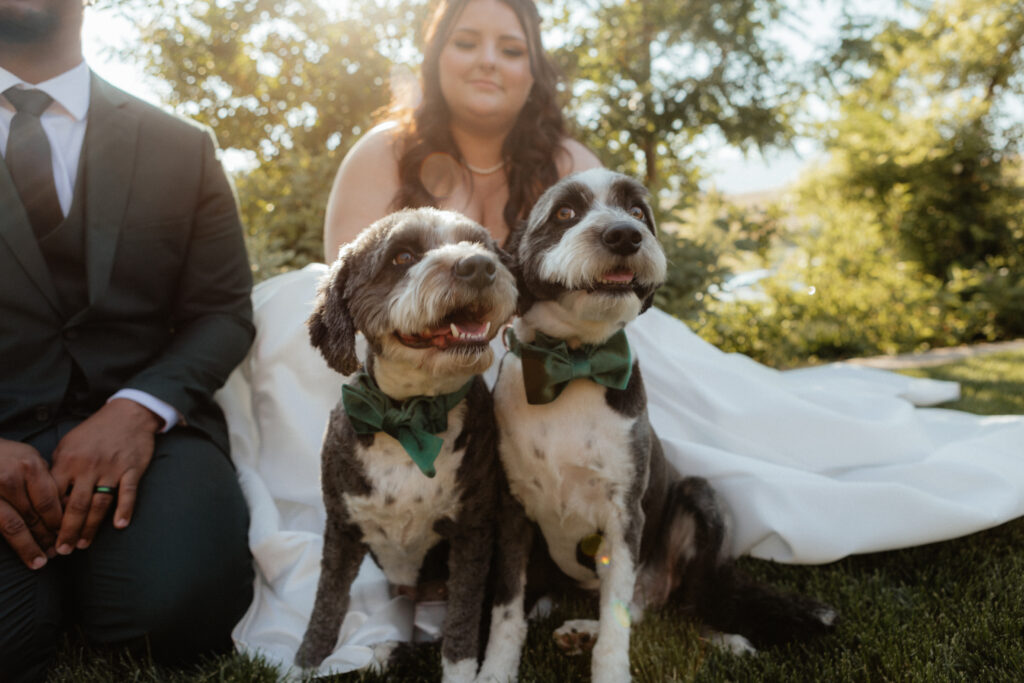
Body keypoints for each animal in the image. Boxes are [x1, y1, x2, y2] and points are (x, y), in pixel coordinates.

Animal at [296, 208, 520, 683]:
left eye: (481, 246)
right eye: (402, 256)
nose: (478, 266)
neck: (410, 416)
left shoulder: (472, 531)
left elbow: (462, 621)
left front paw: (460, 673)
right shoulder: (341, 527)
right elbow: (327, 600)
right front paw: (306, 664)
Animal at [475, 169, 835, 683]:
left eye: (638, 212)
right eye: (565, 212)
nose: (625, 235)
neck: (576, 365)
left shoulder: (625, 515)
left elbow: (618, 623)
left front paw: (609, 671)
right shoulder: (512, 511)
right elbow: (507, 611)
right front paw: (495, 670)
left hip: (700, 500)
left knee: (680, 602)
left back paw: (723, 639)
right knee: (638, 605)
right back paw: (578, 626)